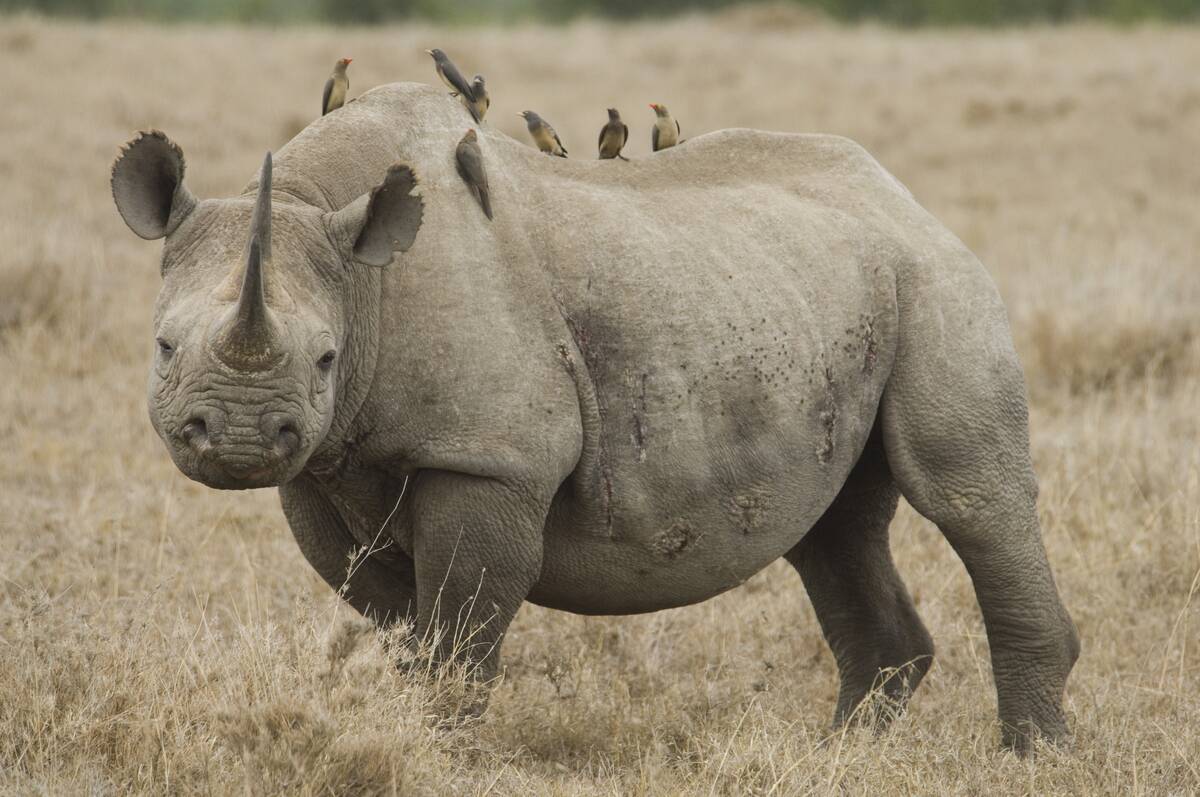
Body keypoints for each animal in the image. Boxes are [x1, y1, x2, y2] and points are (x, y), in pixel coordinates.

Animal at [111, 82, 1078, 751]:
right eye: (163, 347)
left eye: (323, 358)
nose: (239, 439)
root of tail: (907, 198)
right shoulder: (326, 463)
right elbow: (403, 620)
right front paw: (409, 723)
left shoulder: (490, 456)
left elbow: (459, 629)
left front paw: (437, 745)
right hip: (821, 293)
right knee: (833, 528)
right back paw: (840, 755)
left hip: (938, 280)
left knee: (966, 497)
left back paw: (1029, 757)